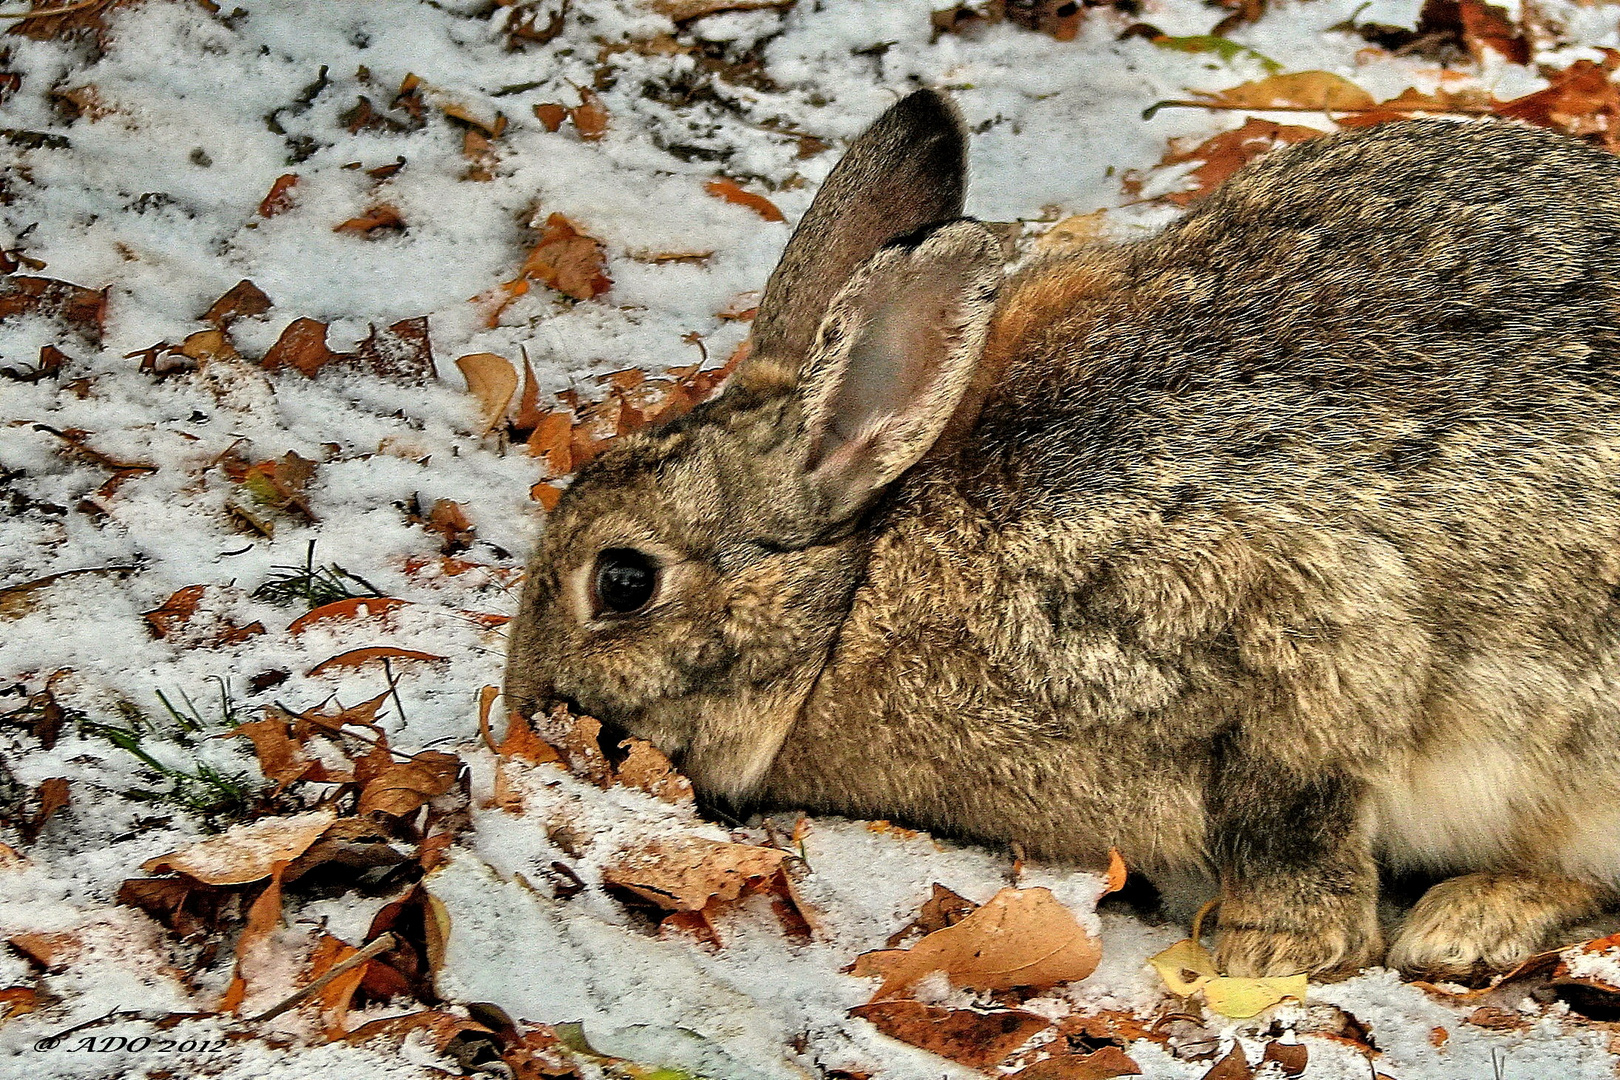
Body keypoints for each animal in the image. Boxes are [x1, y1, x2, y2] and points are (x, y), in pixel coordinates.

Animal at [498, 90, 1620, 977]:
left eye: (623, 581)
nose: (520, 705)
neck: (855, 592)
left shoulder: (1293, 645)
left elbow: (1294, 824)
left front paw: (1271, 953)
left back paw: (1465, 922)